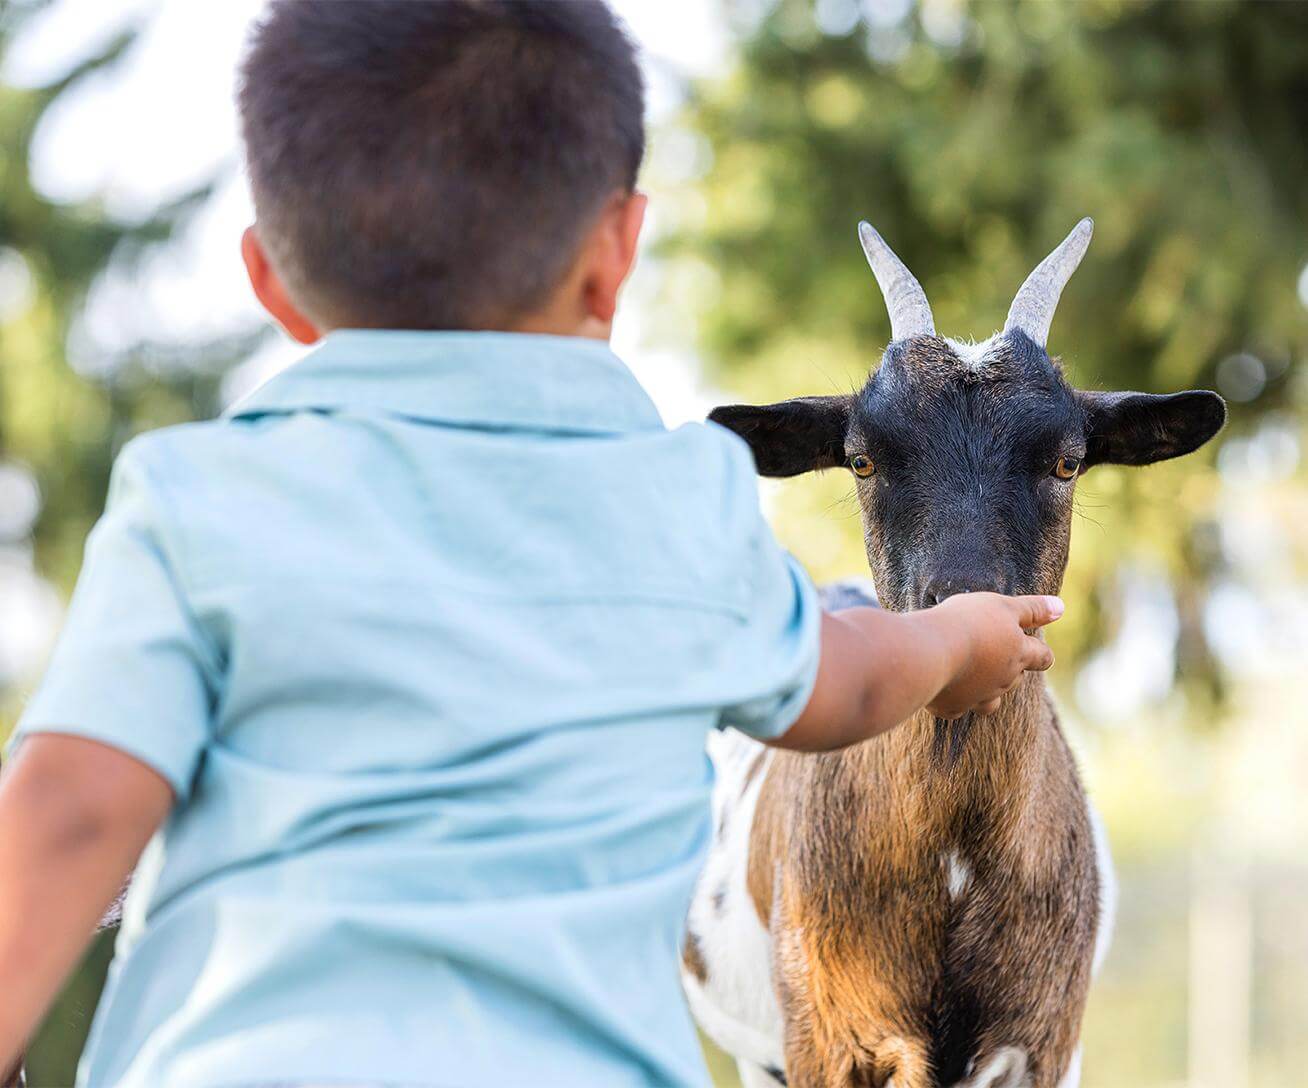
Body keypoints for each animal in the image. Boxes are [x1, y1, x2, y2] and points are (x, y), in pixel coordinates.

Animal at [681, 218, 1226, 1088]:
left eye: (1067, 461)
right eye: (862, 460)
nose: (970, 614)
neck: (952, 867)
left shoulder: (1045, 1044)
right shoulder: (828, 1041)